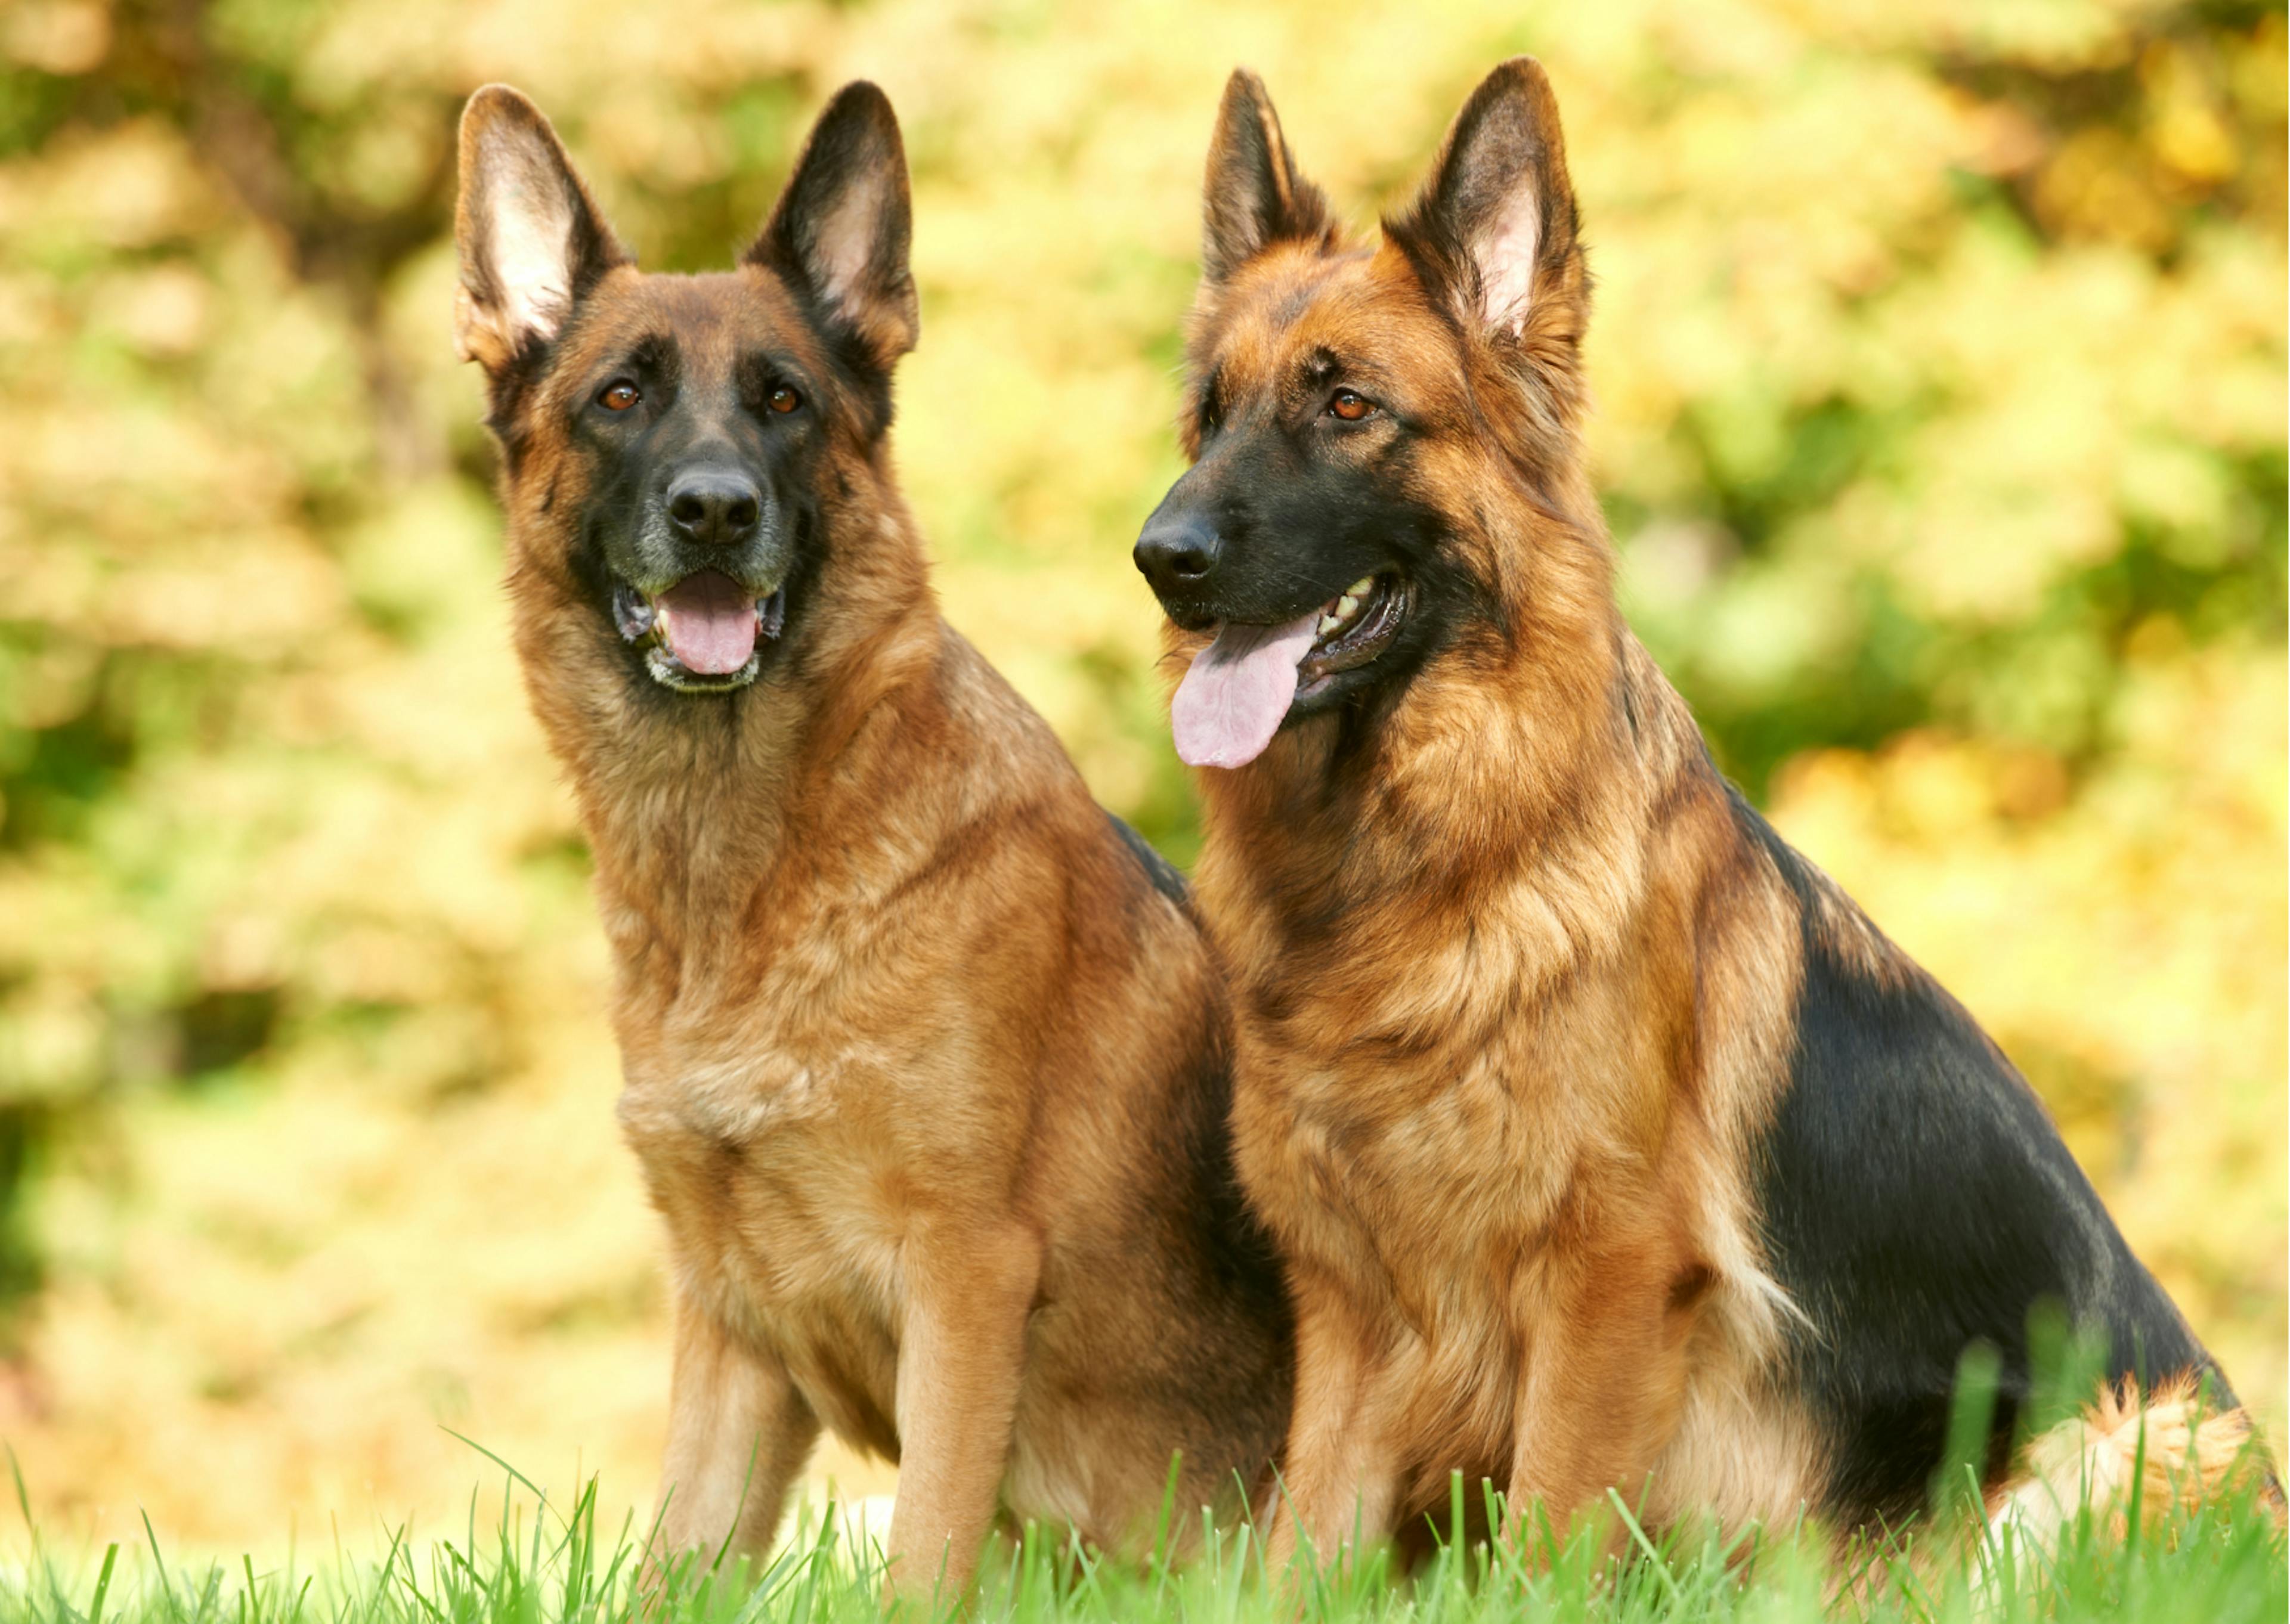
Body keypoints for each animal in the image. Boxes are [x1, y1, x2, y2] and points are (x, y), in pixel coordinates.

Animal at [456, 82, 1301, 1594]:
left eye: (784, 401)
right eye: (620, 397)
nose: (715, 510)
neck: (749, 881)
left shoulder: (965, 1279)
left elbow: (923, 1559)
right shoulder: (731, 1335)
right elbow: (676, 1569)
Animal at [1127, 63, 2253, 1557]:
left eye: (1350, 406)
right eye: (1211, 415)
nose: (1161, 558)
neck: (1419, 863)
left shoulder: (1609, 1281)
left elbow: (1545, 1534)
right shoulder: (1357, 1309)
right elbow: (1302, 1550)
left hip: (2121, 1445)